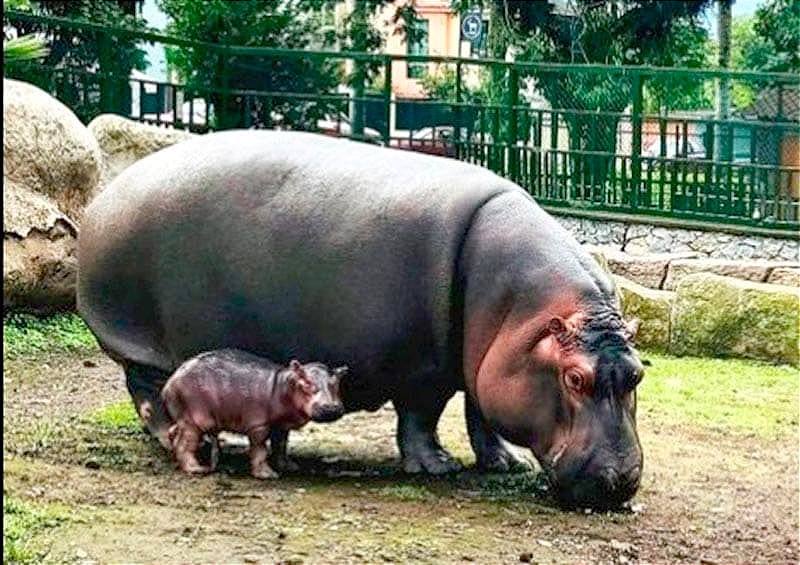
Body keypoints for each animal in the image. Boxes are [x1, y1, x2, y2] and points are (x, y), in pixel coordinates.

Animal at [162, 350, 346, 478]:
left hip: (183, 418)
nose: (331, 407)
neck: (283, 384)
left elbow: (281, 445)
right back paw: (197, 469)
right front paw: (268, 475)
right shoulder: (259, 425)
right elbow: (260, 449)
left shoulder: (281, 425)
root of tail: (170, 382)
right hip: (193, 421)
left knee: (173, 433)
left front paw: (289, 466)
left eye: (336, 382)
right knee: (185, 444)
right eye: (306, 383)